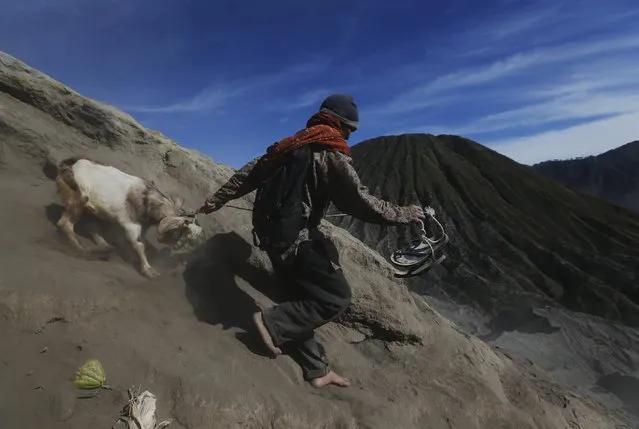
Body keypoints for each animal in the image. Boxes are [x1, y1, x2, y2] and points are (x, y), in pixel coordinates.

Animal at [56, 155, 205, 276]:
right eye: (180, 232)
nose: (176, 247)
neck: (147, 198)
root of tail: (69, 166)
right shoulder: (131, 225)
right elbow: (139, 245)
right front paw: (149, 271)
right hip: (79, 198)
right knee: (65, 224)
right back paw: (83, 250)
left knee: (89, 226)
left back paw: (104, 246)